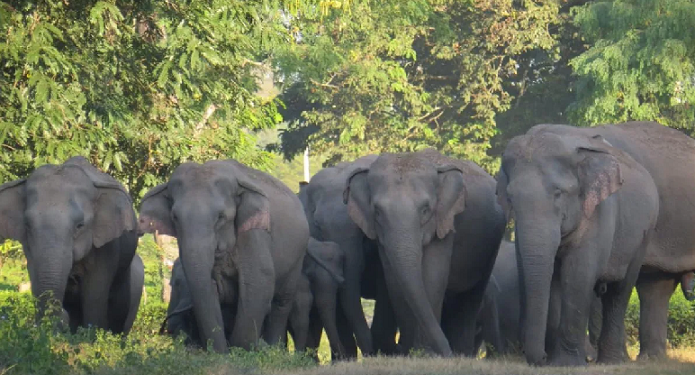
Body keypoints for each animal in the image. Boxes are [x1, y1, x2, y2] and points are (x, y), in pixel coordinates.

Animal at [0, 156, 143, 334]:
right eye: (27, 224)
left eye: (79, 226)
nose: (61, 317)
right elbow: (36, 279)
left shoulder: (107, 247)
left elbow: (94, 294)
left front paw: (90, 337)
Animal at [137, 160, 308, 354]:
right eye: (175, 217)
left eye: (221, 217)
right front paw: (219, 352)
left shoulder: (253, 232)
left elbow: (258, 278)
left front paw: (240, 350)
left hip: (298, 255)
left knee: (281, 300)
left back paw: (274, 350)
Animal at [344, 148, 506, 356]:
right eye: (377, 212)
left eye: (425, 210)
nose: (447, 353)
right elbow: (394, 281)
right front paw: (410, 353)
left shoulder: (444, 223)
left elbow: (432, 276)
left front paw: (426, 354)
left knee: (471, 297)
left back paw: (461, 352)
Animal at [494, 125, 664, 366]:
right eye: (510, 197)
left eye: (558, 193)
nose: (541, 358)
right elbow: (540, 275)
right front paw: (555, 359)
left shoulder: (598, 213)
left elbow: (577, 274)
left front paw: (565, 363)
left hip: (644, 233)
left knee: (619, 291)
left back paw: (610, 361)